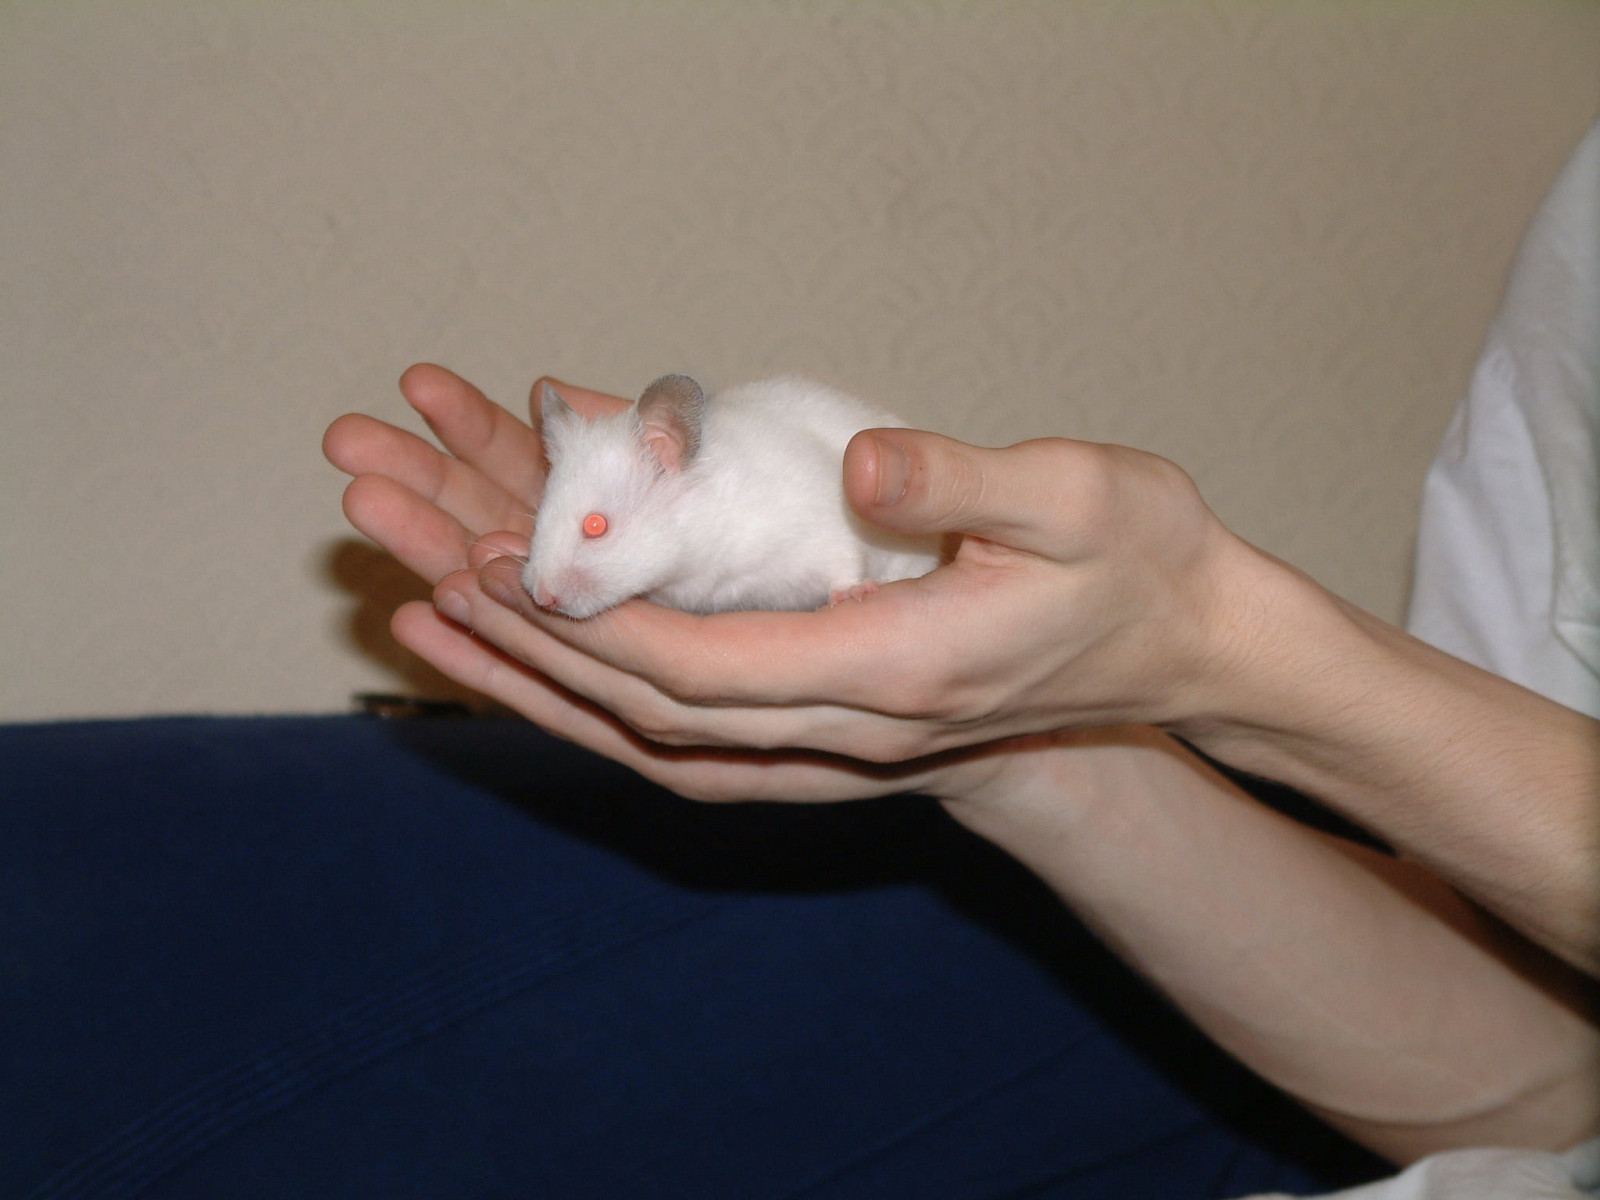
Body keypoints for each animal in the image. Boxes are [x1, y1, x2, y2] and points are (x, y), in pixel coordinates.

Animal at [522, 374, 942, 618]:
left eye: (595, 526)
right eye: (539, 517)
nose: (541, 599)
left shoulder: (825, 524)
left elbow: (845, 562)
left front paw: (854, 594)